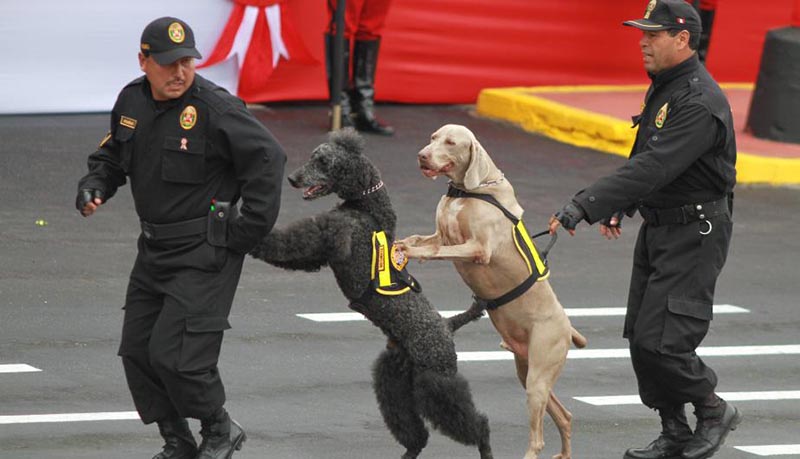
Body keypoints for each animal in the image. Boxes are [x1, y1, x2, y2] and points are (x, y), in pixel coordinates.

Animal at [250, 130, 490, 459]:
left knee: (475, 423)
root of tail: (447, 324)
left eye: (323, 162)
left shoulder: (327, 236)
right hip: (394, 380)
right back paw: (409, 451)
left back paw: (484, 445)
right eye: (313, 157)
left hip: (436, 382)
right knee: (413, 430)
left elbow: (286, 243)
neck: (367, 208)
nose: (293, 178)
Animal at [396, 124, 588, 458]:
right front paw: (398, 244)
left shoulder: (477, 248)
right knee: (565, 416)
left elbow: (434, 250)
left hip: (538, 377)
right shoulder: (441, 233)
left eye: (450, 142)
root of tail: (568, 328)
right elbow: (420, 238)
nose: (422, 155)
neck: (468, 190)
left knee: (537, 438)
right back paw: (564, 454)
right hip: (527, 371)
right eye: (433, 138)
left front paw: (412, 253)